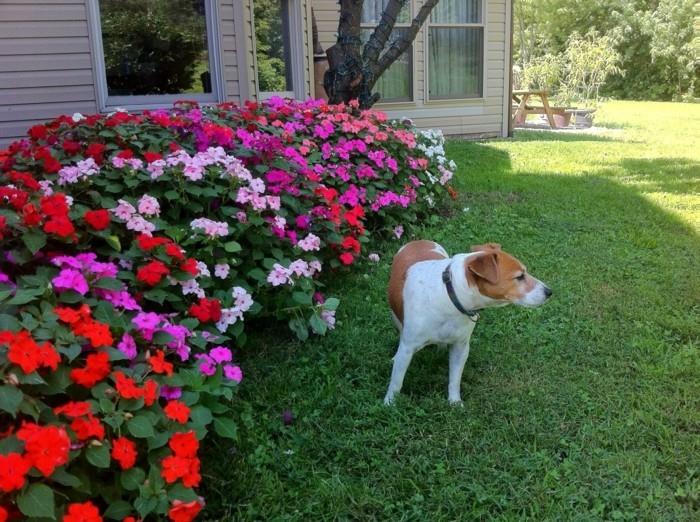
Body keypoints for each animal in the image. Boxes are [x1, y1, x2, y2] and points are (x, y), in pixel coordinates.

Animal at [382, 238, 552, 404]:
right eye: (519, 276)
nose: (549, 291)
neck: (450, 296)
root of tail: (417, 241)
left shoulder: (461, 347)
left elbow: (455, 379)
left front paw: (455, 402)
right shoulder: (407, 348)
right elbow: (396, 381)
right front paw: (390, 403)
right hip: (396, 318)